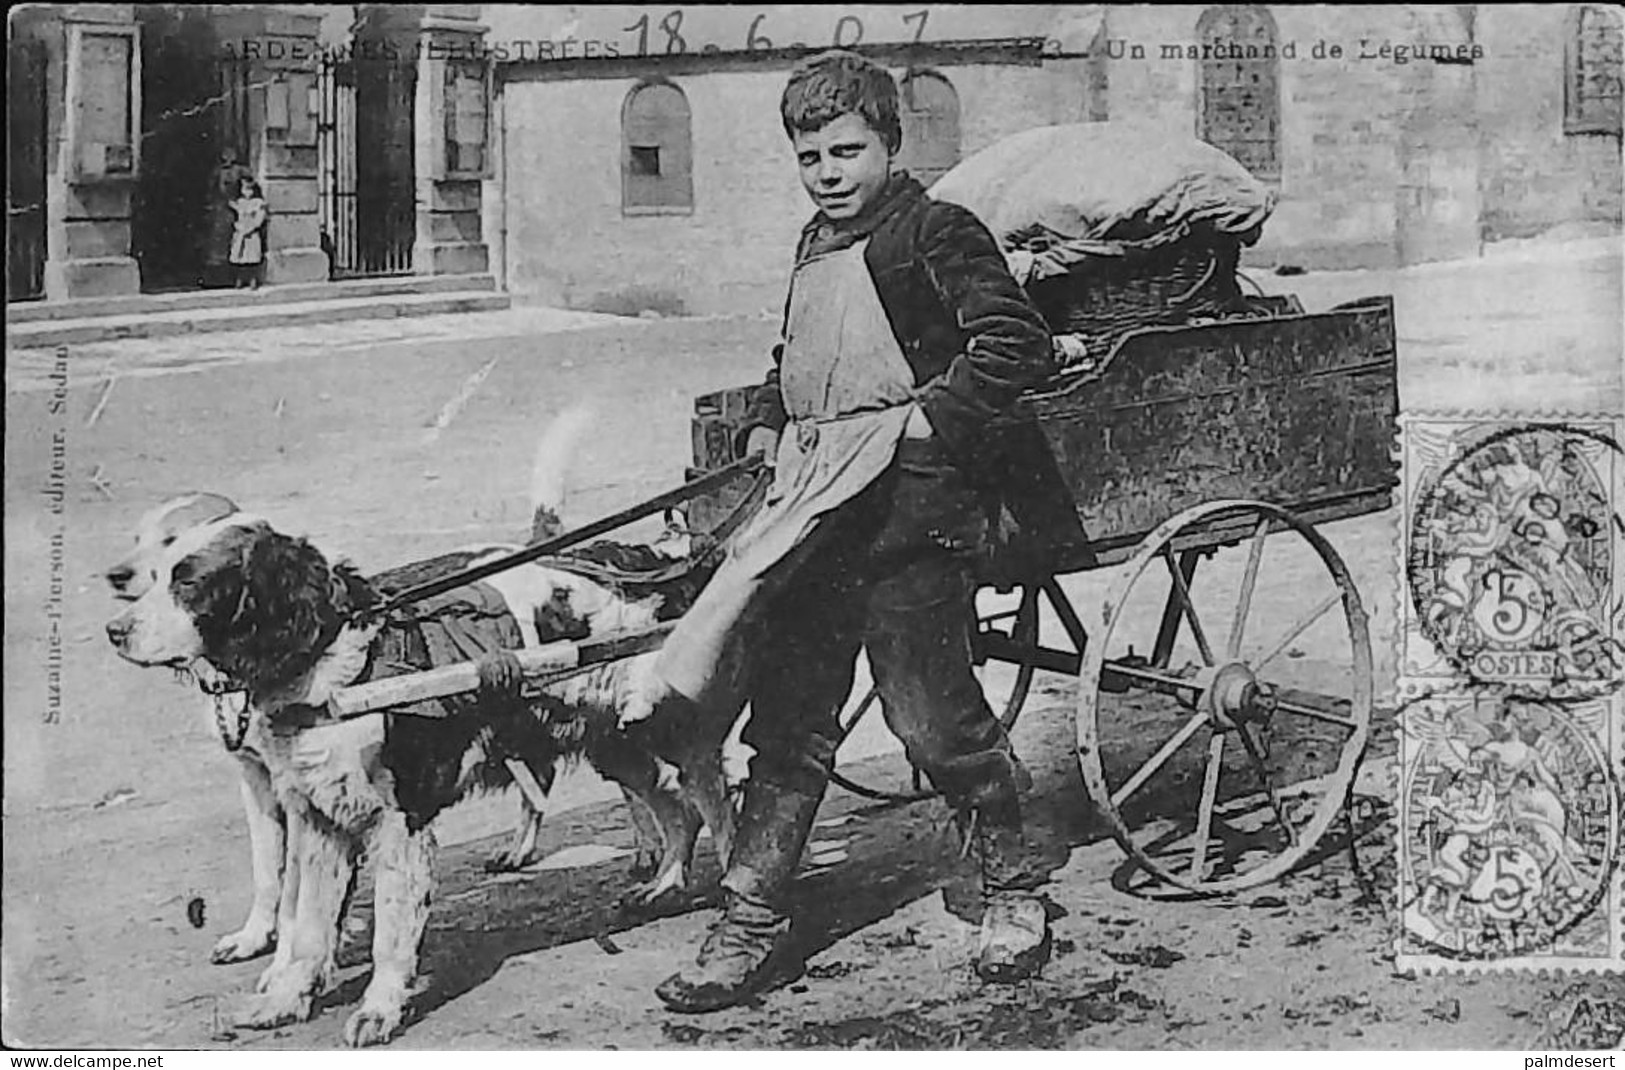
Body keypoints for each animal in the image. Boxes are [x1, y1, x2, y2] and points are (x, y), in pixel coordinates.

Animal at [109, 409, 747, 1040]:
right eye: (156, 570)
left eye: (188, 580)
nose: (115, 631)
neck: (330, 665)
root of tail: (652, 564)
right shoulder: (315, 816)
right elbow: (307, 923)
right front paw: (286, 999)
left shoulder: (399, 821)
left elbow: (390, 930)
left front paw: (380, 1008)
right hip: (614, 740)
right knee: (674, 808)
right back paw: (663, 884)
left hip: (671, 729)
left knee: (716, 807)